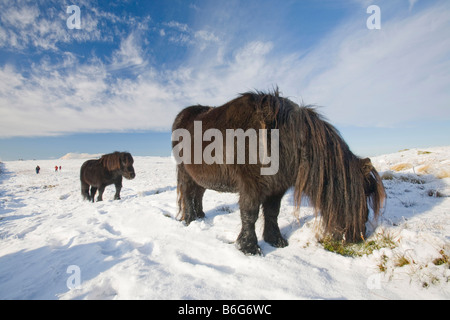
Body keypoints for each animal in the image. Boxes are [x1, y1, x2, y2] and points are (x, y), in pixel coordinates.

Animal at [172, 89, 386, 254]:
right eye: (364, 194)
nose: (358, 237)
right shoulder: (250, 185)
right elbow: (250, 213)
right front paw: (249, 248)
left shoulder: (277, 186)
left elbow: (272, 212)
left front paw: (275, 240)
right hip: (185, 173)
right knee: (188, 194)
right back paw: (190, 220)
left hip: (200, 176)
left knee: (198, 194)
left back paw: (201, 216)